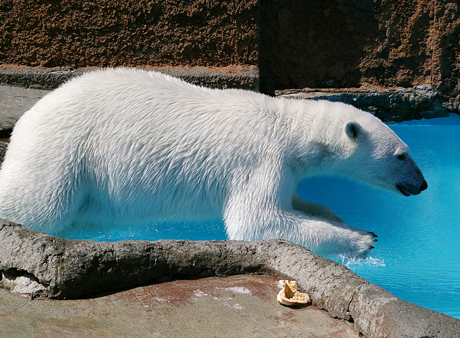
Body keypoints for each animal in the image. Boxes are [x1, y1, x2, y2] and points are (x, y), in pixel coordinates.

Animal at [0, 68, 428, 256]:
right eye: (402, 155)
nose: (421, 184)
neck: (287, 126)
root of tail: (27, 120)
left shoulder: (285, 169)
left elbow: (296, 203)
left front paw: (341, 220)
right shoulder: (260, 161)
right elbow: (257, 220)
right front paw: (363, 239)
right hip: (66, 151)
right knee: (37, 201)